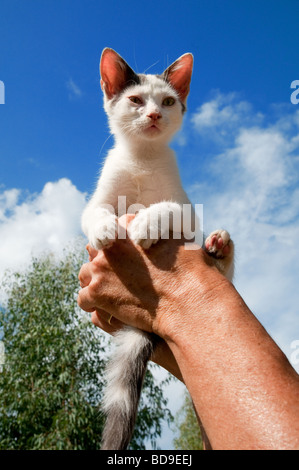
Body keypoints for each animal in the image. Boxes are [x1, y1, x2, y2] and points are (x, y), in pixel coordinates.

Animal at [81, 48, 234, 452]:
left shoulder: (187, 212)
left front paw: (147, 222)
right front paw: (105, 228)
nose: (153, 115)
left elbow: (167, 208)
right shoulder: (99, 199)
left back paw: (219, 246)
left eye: (167, 102)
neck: (143, 160)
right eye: (136, 100)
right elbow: (94, 213)